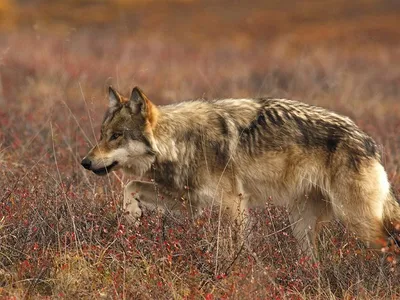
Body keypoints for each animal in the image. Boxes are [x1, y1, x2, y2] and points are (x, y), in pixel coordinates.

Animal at [80, 86, 400, 253]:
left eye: (116, 136)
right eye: (102, 134)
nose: (85, 162)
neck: (180, 141)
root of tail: (368, 140)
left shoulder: (232, 202)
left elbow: (233, 245)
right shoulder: (190, 202)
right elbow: (129, 186)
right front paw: (131, 217)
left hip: (357, 221)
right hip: (302, 224)